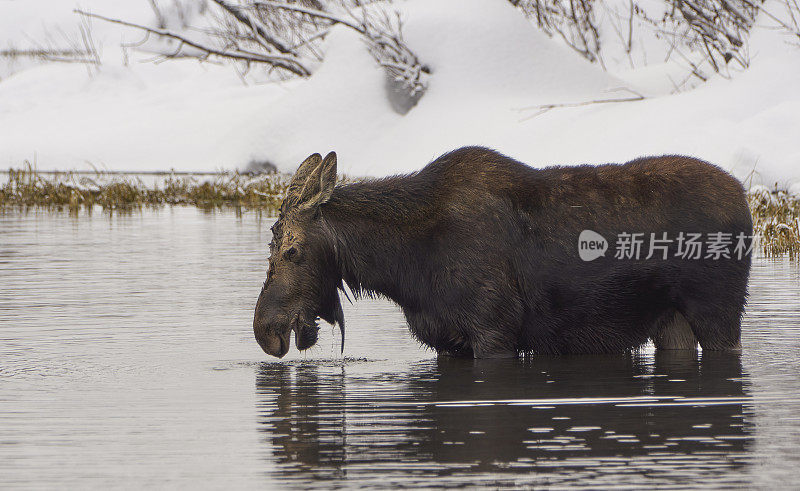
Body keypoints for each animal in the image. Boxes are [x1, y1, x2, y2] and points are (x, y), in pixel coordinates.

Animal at [253, 148, 752, 360]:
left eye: (293, 250)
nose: (266, 330)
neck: (405, 268)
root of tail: (745, 199)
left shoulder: (494, 330)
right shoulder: (448, 341)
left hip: (720, 313)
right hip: (670, 322)